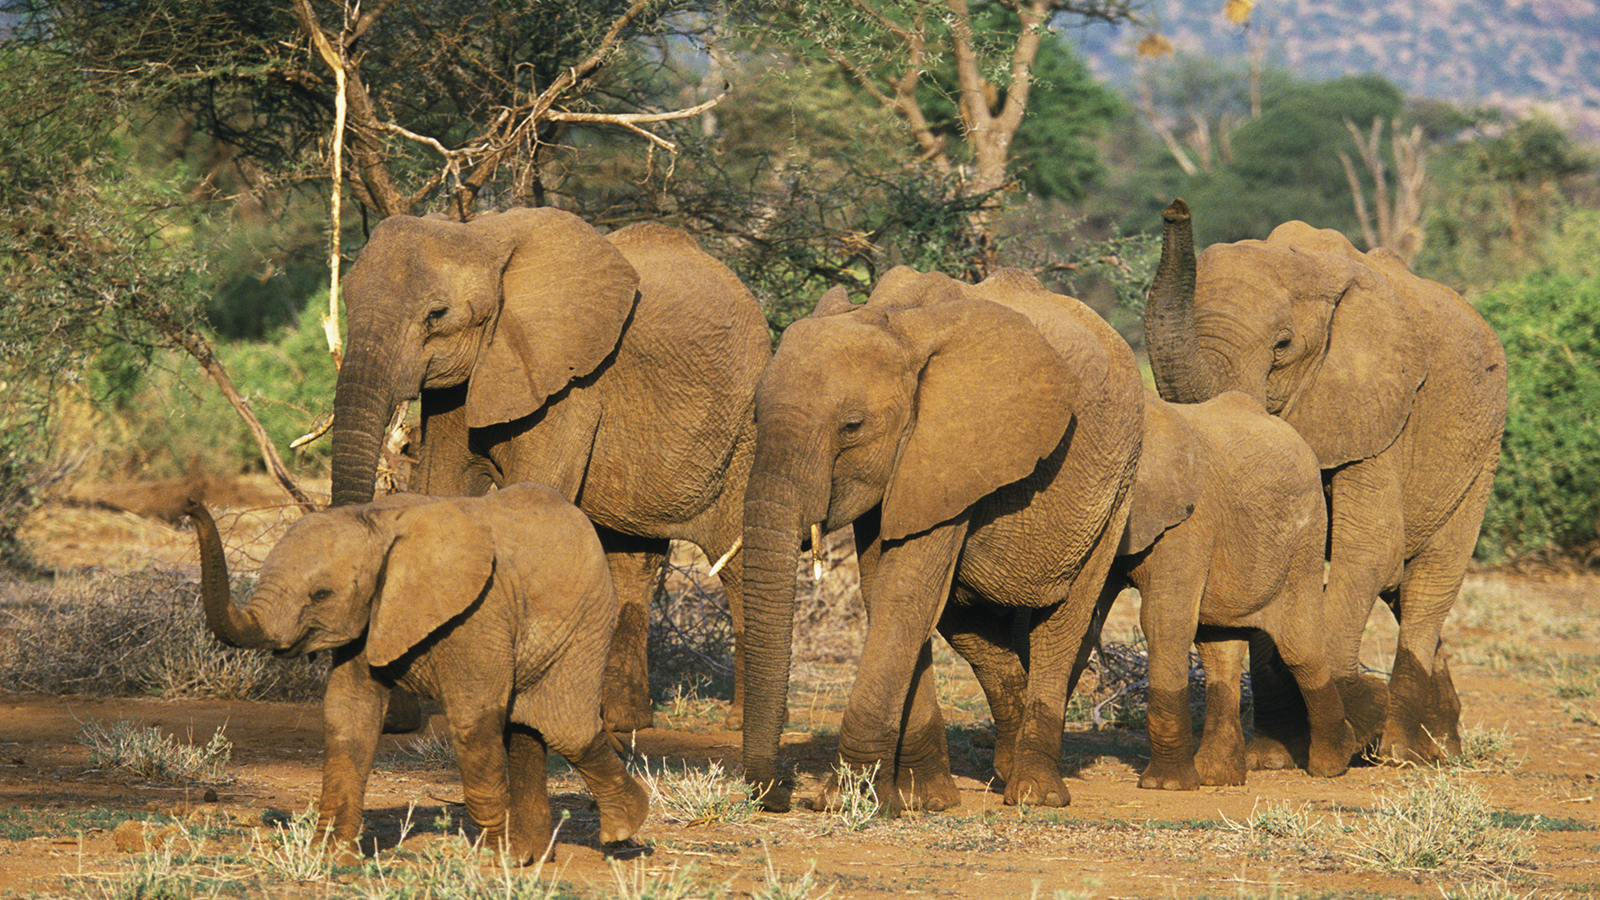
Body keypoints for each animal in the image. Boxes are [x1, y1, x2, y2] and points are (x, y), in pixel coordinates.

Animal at [184, 484, 649, 864]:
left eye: (321, 595)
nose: (190, 503)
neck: (377, 521)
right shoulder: (371, 614)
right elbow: (349, 717)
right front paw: (330, 857)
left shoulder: (479, 612)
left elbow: (473, 721)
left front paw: (494, 863)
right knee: (527, 729)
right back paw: (535, 856)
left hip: (588, 621)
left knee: (566, 729)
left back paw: (620, 829)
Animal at [327, 207, 770, 733]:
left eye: (437, 315)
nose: (393, 718)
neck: (481, 237)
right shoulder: (460, 385)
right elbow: (439, 488)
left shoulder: (571, 388)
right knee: (630, 561)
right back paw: (623, 722)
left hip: (743, 430)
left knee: (736, 562)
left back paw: (736, 723)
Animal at [740, 266, 1144, 813]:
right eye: (756, 417)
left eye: (852, 426)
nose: (781, 794)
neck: (893, 323)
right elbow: (886, 593)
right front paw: (923, 799)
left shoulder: (954, 451)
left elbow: (904, 595)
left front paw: (845, 801)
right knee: (963, 616)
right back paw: (1005, 765)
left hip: (1118, 482)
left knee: (1066, 619)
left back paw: (1033, 792)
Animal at [1103, 391, 1355, 790]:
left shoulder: (1190, 521)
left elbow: (1164, 620)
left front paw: (1166, 786)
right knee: (1219, 647)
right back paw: (1217, 776)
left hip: (1305, 537)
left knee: (1298, 647)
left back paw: (1333, 762)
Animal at [1143, 198, 1507, 765]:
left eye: (1283, 345)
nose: (1177, 208)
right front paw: (1272, 756)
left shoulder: (1379, 412)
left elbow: (1371, 548)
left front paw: (1352, 731)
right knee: (1401, 590)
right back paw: (1441, 745)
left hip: (1481, 455)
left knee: (1428, 584)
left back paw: (1400, 751)